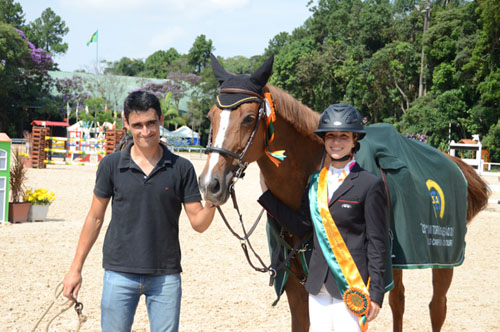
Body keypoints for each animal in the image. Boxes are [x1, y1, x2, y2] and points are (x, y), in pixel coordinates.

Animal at [198, 59, 488, 330]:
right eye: (211, 116)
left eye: (248, 118)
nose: (210, 184)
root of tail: (453, 162)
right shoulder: (296, 286)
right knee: (399, 301)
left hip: (444, 261)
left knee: (437, 307)